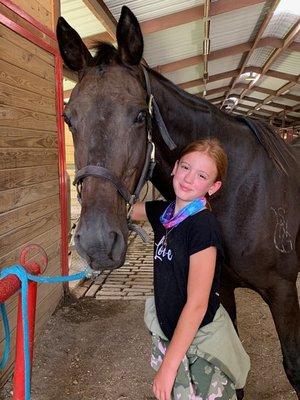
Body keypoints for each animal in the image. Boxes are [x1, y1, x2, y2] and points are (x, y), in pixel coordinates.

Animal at [56, 7, 300, 400]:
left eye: (140, 115)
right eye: (69, 118)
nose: (96, 243)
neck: (238, 193)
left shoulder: (282, 291)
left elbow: (293, 366)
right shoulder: (220, 290)